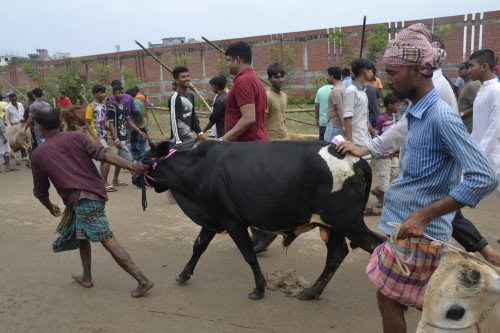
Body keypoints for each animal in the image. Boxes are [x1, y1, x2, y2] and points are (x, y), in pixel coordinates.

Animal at [132, 139, 382, 300]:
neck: (198, 169)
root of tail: (359, 161)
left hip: (347, 223)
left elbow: (249, 255)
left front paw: (259, 289)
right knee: (337, 254)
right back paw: (311, 291)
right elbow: (198, 246)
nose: (134, 177)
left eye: (144, 159)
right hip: (333, 225)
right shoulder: (213, 218)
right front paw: (184, 274)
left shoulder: (232, 221)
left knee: (376, 244)